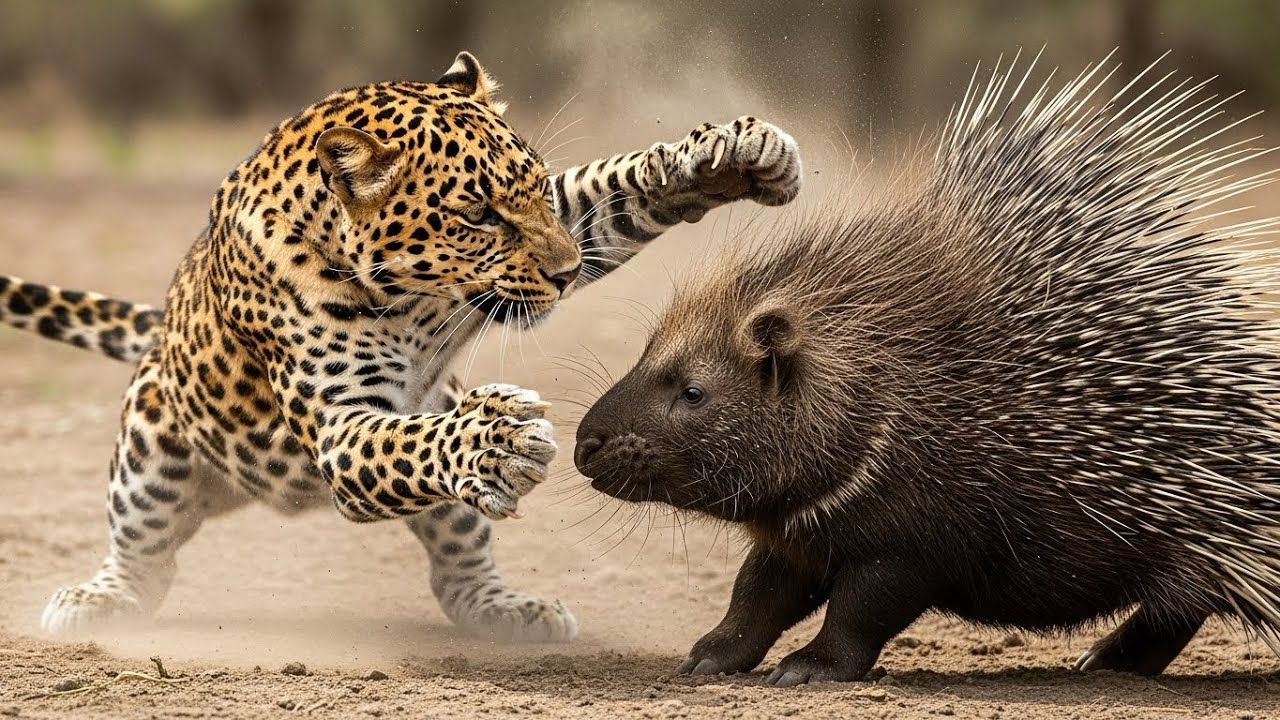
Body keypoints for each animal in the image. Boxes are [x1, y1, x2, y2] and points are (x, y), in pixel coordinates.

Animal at [0, 51, 803, 641]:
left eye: (537, 189)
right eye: (479, 216)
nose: (566, 271)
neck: (409, 296)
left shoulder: (564, 226)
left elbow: (613, 190)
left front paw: (732, 155)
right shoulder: (339, 424)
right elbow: (410, 441)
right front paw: (493, 437)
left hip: (453, 513)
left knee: (456, 569)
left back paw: (508, 610)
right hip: (150, 449)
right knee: (145, 556)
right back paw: (98, 603)